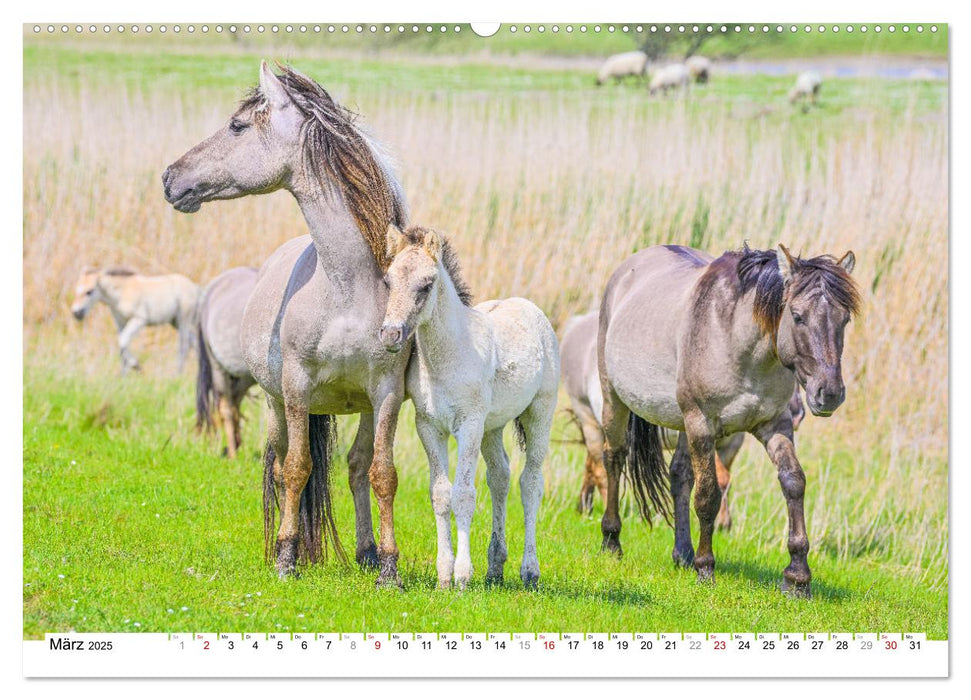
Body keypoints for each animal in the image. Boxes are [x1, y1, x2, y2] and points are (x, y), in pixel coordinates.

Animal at [382, 227, 560, 588]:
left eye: (426, 284)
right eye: (387, 281)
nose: (391, 334)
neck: (450, 355)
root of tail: (528, 306)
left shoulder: (470, 424)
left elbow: (463, 493)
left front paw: (462, 577)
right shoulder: (428, 426)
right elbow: (440, 494)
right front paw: (443, 575)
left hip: (538, 413)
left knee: (531, 483)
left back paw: (529, 572)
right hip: (494, 426)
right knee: (500, 477)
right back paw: (495, 567)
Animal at [600, 242, 860, 596]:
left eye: (844, 319)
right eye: (797, 316)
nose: (829, 393)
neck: (740, 345)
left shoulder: (775, 425)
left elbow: (793, 482)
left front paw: (797, 576)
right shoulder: (702, 424)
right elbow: (708, 495)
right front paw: (706, 568)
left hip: (684, 424)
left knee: (679, 475)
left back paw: (682, 553)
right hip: (615, 399)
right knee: (614, 458)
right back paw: (612, 541)